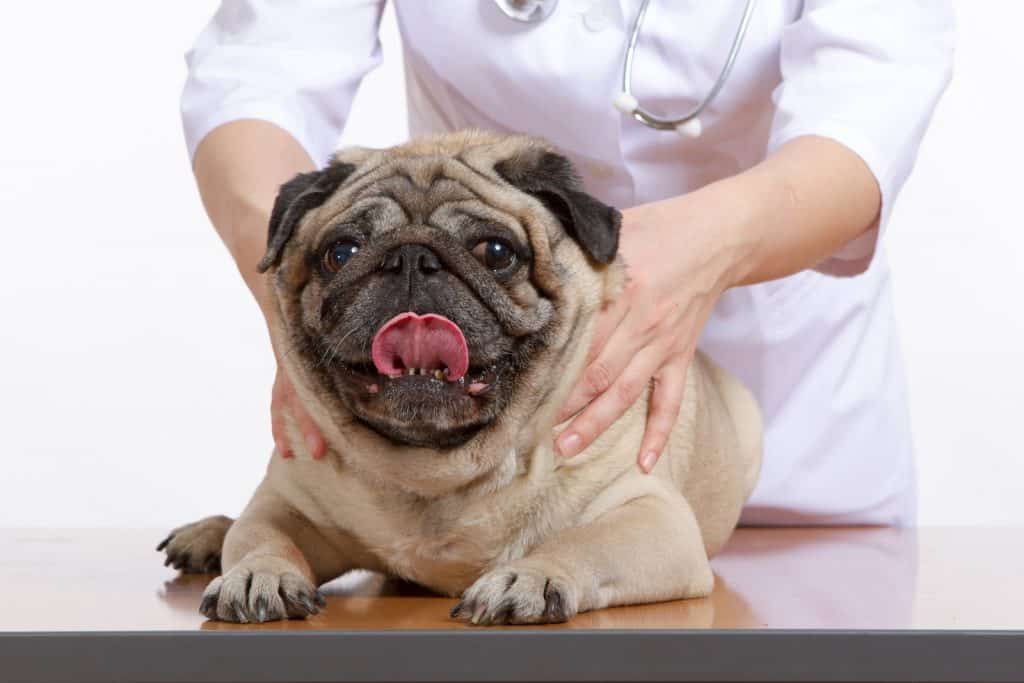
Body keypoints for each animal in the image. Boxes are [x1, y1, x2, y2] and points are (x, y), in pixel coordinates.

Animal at [159, 132, 761, 626]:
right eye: (341, 252)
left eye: (496, 252)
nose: (410, 257)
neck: (440, 471)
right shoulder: (289, 504)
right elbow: (262, 535)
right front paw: (256, 572)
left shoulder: (651, 519)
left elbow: (582, 544)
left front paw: (531, 576)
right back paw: (208, 534)